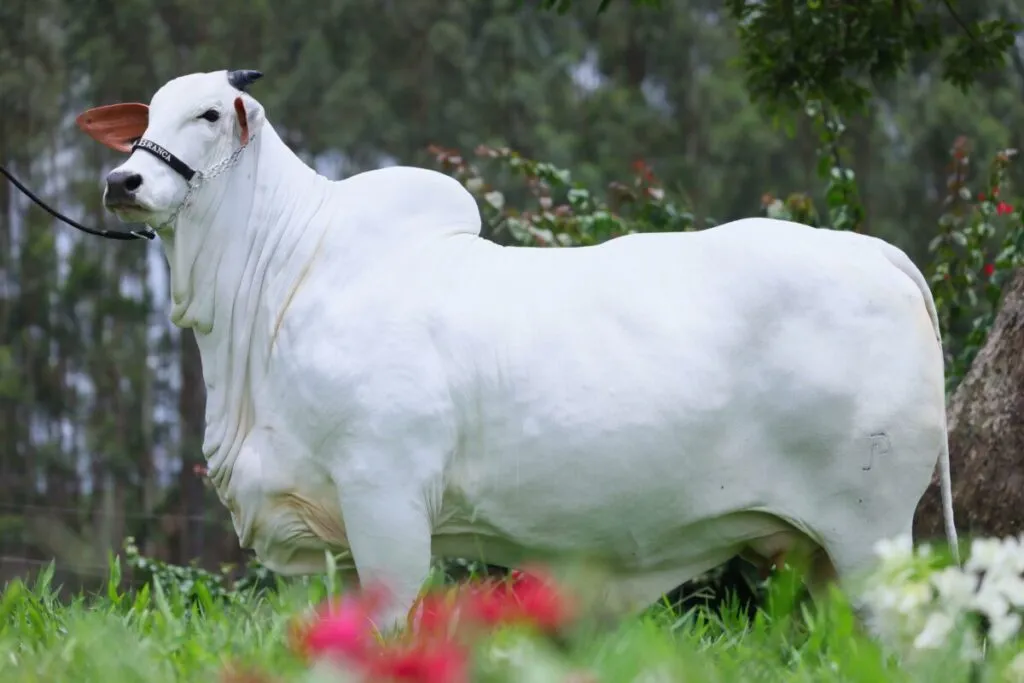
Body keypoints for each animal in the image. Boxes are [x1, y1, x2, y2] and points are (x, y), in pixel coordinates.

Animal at [77, 68, 958, 630]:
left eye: (209, 115)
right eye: (144, 118)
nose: (123, 182)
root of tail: (877, 253)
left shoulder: (386, 497)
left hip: (872, 525)